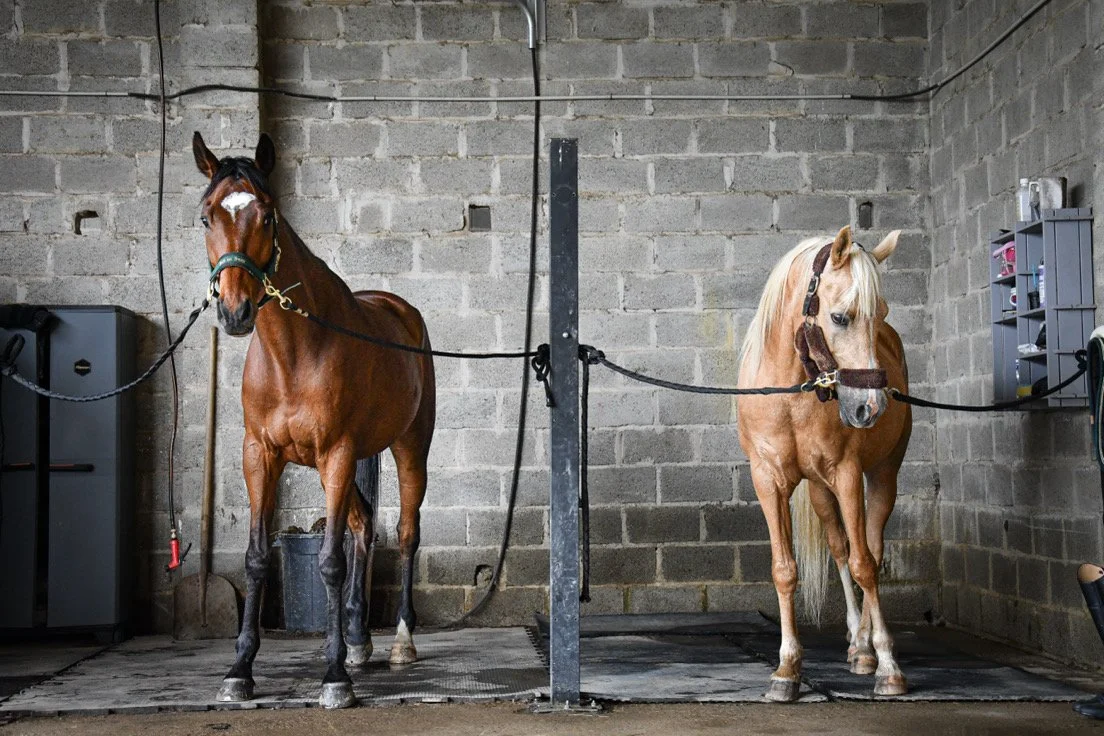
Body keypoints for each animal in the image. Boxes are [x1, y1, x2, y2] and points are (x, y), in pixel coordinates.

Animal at [191, 131, 436, 709]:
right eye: (207, 216)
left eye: (267, 215)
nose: (235, 312)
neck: (293, 354)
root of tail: (401, 310)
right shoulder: (259, 456)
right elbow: (257, 558)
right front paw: (240, 669)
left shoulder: (337, 454)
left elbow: (329, 562)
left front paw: (334, 677)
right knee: (364, 527)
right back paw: (359, 641)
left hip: (409, 447)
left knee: (405, 533)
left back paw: (400, 642)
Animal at [736, 225, 912, 702]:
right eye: (840, 317)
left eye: (880, 313)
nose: (871, 407)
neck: (791, 394)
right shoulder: (768, 481)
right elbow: (785, 570)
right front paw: (786, 670)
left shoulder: (848, 474)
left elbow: (865, 564)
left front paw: (889, 666)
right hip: (818, 491)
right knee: (839, 547)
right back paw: (855, 643)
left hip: (882, 476)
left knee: (871, 548)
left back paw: (867, 649)